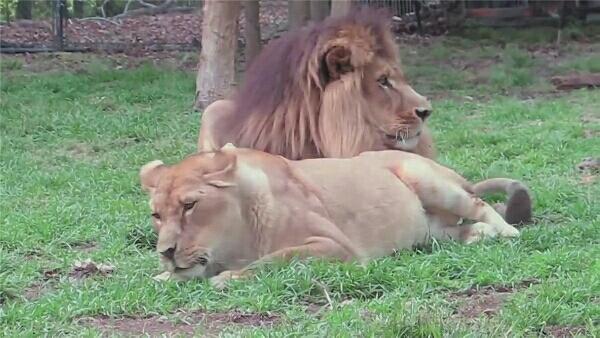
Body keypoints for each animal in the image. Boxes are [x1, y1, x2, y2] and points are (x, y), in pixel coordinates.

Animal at [141, 143, 520, 288]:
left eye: (190, 206)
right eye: (157, 215)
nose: (166, 252)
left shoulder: (336, 247)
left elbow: (276, 258)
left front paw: (229, 277)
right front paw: (163, 276)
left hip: (427, 179)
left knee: (479, 204)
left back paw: (507, 233)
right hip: (429, 228)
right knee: (450, 232)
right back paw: (477, 235)